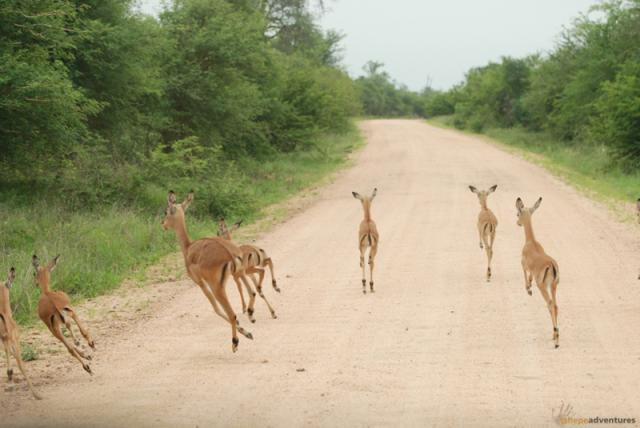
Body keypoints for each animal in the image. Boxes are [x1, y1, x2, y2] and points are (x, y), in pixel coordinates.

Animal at [162, 191, 253, 352]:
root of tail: (230, 253)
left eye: (166, 211)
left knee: (231, 313)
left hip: (217, 287)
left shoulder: (200, 282)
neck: (188, 248)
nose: (163, 224)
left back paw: (235, 343)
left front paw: (244, 332)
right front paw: (246, 331)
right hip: (236, 275)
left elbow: (215, 308)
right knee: (251, 293)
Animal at [516, 197, 560, 348]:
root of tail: (551, 265)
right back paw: (554, 335)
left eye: (518, 213)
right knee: (556, 306)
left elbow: (525, 274)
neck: (531, 242)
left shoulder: (523, 264)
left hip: (543, 287)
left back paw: (556, 339)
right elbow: (529, 275)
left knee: (550, 304)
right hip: (553, 286)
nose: (517, 223)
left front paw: (528, 289)